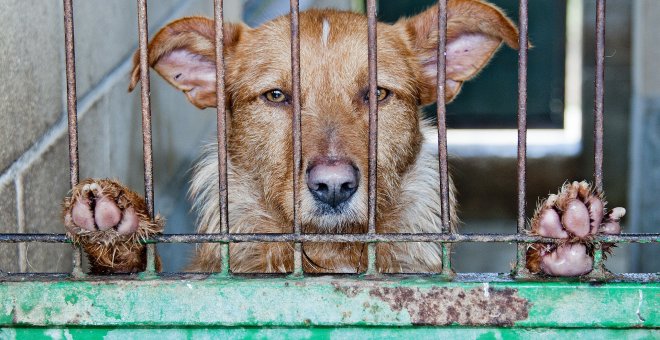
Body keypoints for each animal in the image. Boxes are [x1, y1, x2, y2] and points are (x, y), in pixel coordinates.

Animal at [62, 0, 624, 276]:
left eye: (376, 93)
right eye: (276, 96)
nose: (333, 186)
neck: (333, 256)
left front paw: (559, 244)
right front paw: (116, 233)